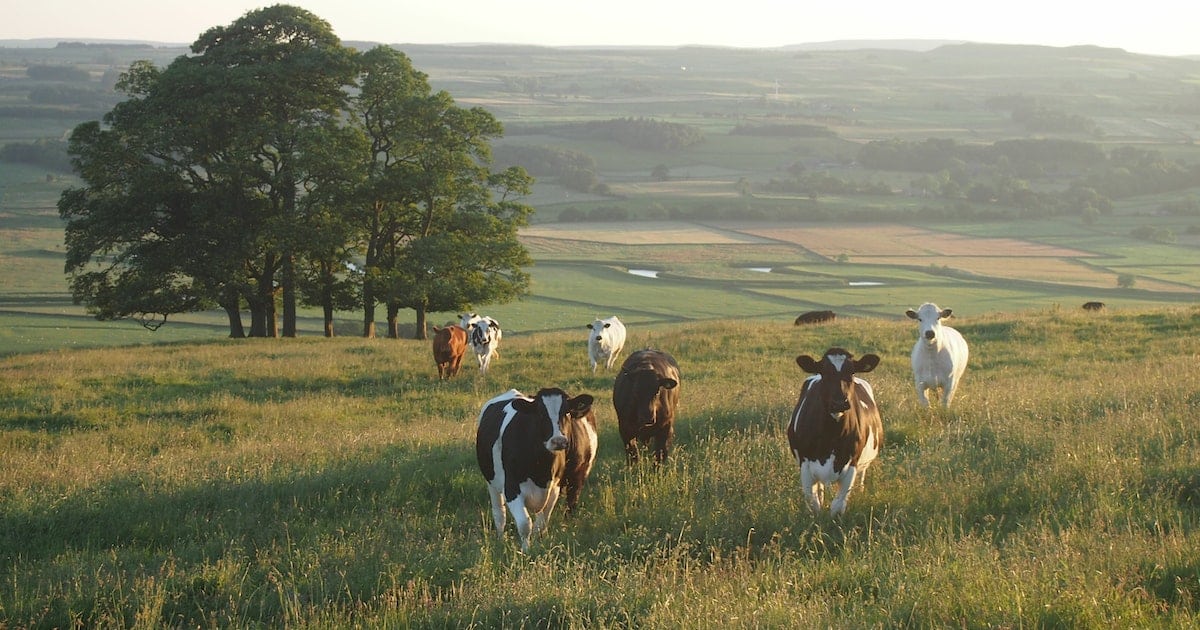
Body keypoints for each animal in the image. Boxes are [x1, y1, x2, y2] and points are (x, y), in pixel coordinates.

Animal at [472, 386, 595, 547]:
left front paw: (538, 545)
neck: (541, 469)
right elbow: (525, 524)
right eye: (541, 413)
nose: (558, 441)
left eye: (567, 412)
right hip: (491, 482)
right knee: (499, 514)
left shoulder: (554, 488)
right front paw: (525, 549)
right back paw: (500, 539)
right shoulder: (511, 488)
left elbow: (541, 523)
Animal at [787, 345, 883, 513]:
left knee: (862, 477)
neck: (830, 435)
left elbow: (838, 505)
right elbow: (814, 504)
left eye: (851, 372)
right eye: (824, 372)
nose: (839, 402)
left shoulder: (851, 465)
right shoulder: (805, 465)